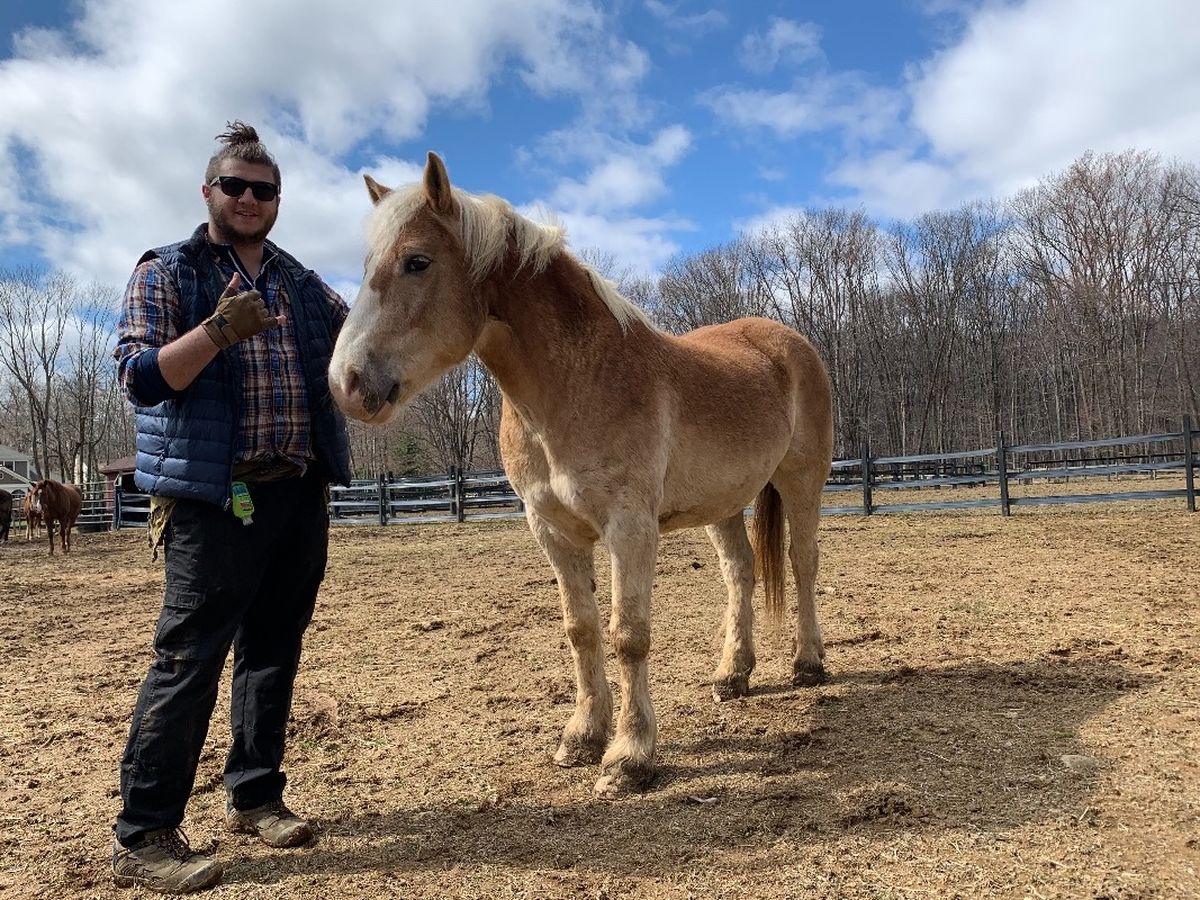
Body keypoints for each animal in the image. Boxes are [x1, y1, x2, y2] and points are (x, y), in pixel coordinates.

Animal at [328, 153, 833, 798]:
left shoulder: (629, 528)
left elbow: (628, 635)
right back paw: (732, 675)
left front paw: (629, 756)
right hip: (722, 504)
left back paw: (808, 663)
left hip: (802, 481)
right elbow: (582, 630)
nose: (346, 383)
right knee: (739, 573)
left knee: (802, 561)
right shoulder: (554, 532)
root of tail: (788, 341)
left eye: (417, 260)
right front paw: (582, 737)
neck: (576, 386)